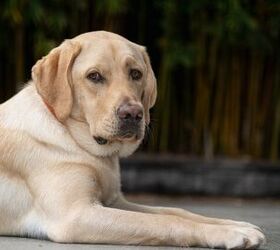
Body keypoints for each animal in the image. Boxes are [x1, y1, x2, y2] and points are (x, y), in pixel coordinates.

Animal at [0, 31, 264, 248]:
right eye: (94, 76)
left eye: (136, 73)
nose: (133, 114)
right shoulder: (75, 215)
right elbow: (165, 222)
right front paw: (228, 233)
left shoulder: (114, 201)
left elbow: (174, 210)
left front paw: (234, 224)